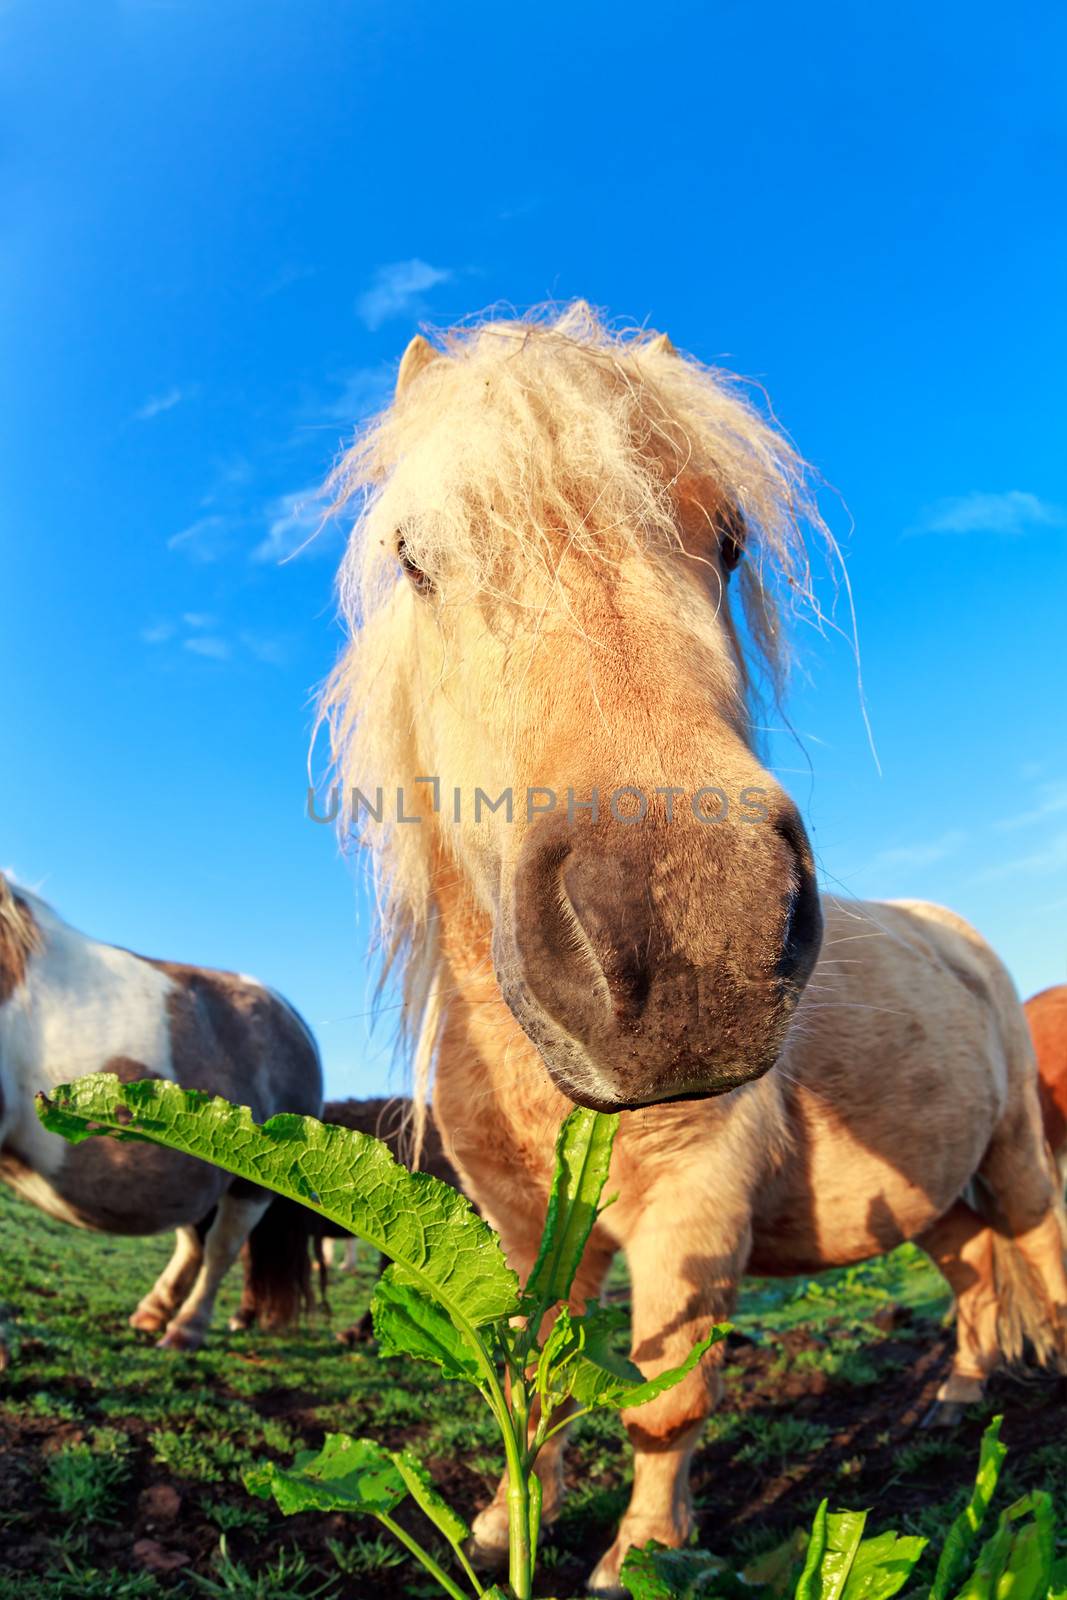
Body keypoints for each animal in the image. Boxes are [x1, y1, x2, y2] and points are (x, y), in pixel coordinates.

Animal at [1, 876, 326, 1363]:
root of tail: (294, 1020)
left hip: (252, 1185)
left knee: (220, 1250)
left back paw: (185, 1330)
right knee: (193, 1242)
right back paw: (153, 1312)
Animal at [319, 305, 1067, 1593]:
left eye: (725, 543)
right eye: (414, 558)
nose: (690, 937)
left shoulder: (694, 1211)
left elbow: (663, 1403)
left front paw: (638, 1556)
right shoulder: (522, 1231)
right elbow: (531, 1388)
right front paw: (502, 1528)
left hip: (1015, 1150)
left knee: (1039, 1251)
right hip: (933, 1190)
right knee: (972, 1270)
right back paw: (955, 1398)